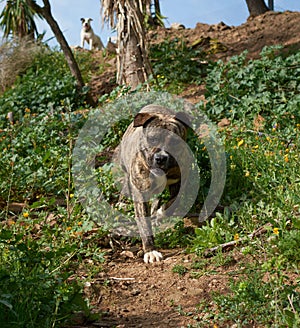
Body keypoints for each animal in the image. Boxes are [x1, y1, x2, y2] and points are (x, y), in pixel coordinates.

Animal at [118, 105, 190, 264]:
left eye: (175, 142)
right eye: (152, 139)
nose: (161, 158)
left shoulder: (179, 183)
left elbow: (173, 202)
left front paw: (159, 213)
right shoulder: (140, 193)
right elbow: (144, 224)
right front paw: (150, 251)